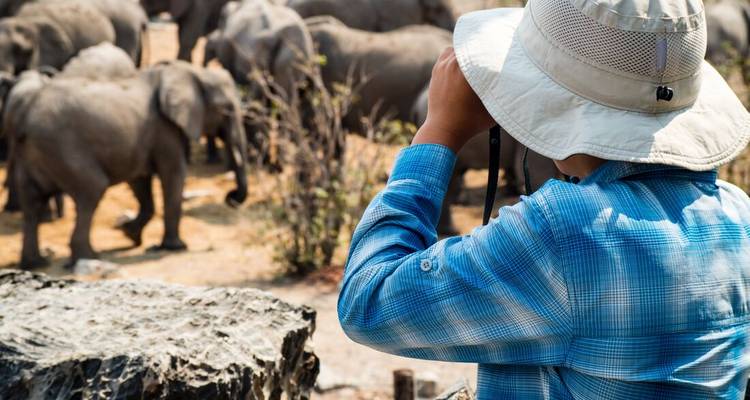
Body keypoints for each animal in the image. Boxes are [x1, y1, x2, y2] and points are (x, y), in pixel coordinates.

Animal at [4, 61, 248, 268]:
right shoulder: (164, 128)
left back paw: (35, 263)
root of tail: (24, 114)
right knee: (91, 190)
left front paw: (129, 233)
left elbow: (140, 181)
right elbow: (173, 174)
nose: (231, 197)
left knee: (32, 204)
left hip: (32, 156)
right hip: (63, 149)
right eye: (226, 110)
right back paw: (89, 257)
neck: (193, 72)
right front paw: (175, 247)